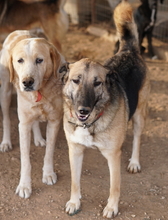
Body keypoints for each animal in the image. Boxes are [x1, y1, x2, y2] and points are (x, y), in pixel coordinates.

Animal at [0, 30, 64, 198]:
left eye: (39, 60)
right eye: (20, 60)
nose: (27, 82)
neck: (40, 93)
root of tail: (18, 31)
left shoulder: (55, 122)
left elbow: (49, 152)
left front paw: (48, 173)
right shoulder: (23, 125)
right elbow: (25, 161)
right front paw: (24, 185)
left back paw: (38, 138)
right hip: (5, 92)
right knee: (6, 119)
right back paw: (6, 142)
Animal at [60, 1, 150, 218]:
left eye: (97, 83)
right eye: (76, 80)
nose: (83, 110)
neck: (91, 123)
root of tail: (129, 51)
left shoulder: (113, 157)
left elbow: (114, 186)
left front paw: (112, 207)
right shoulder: (75, 150)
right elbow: (75, 182)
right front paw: (74, 202)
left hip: (139, 114)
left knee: (137, 138)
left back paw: (134, 162)